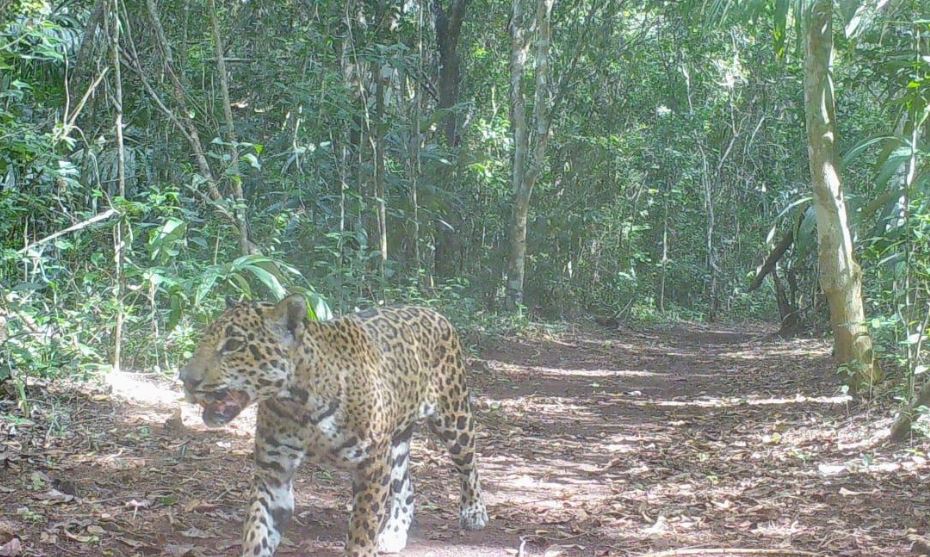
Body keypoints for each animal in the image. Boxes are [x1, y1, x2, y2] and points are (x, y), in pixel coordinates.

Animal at [178, 294, 489, 557]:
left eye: (233, 345)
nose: (186, 379)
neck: (299, 404)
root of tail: (432, 311)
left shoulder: (372, 466)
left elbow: (362, 530)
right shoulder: (273, 475)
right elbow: (258, 532)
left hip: (453, 416)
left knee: (469, 465)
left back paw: (474, 511)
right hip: (397, 439)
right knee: (406, 487)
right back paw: (394, 533)